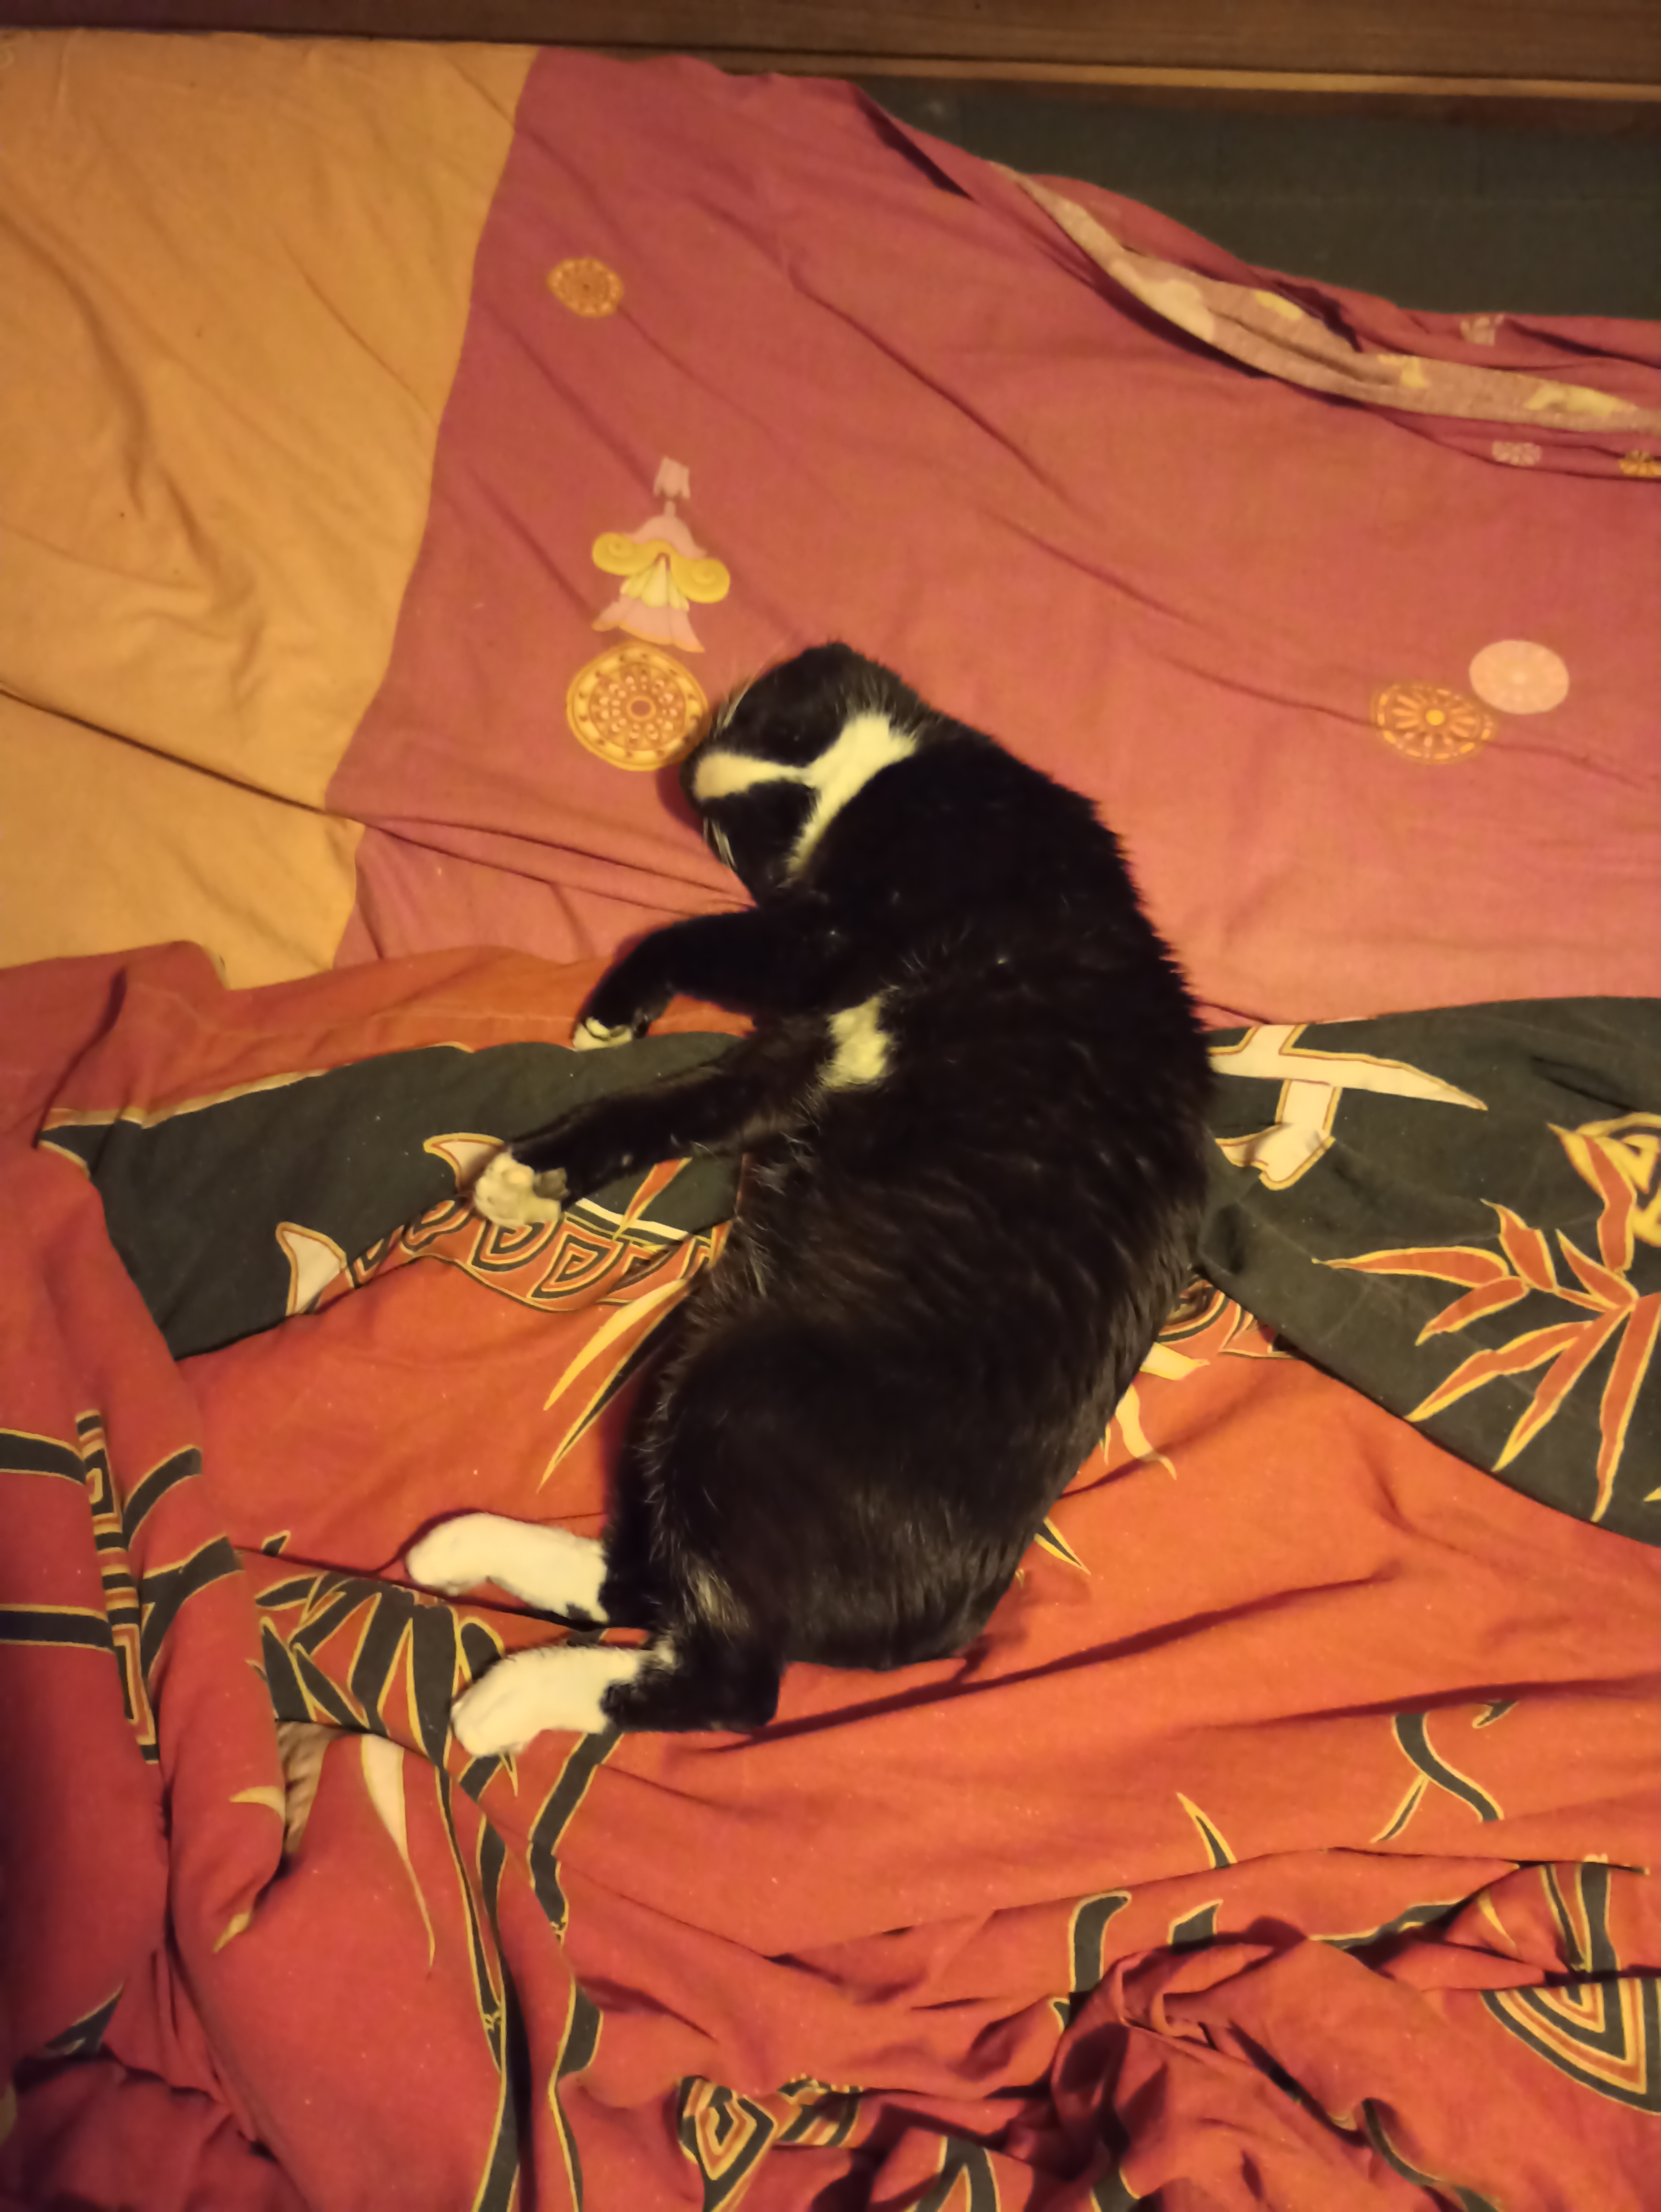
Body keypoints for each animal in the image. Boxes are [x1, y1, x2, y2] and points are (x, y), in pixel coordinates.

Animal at [407, 643, 1211, 1751]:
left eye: (727, 828)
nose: (693, 770)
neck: (870, 778)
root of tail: (944, 1619)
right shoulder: (796, 1054)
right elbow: (660, 1106)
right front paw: (529, 1171)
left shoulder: (841, 936)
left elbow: (703, 935)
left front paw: (617, 1007)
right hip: (689, 1361)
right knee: (647, 1581)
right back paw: (460, 1550)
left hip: (741, 1391)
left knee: (731, 1682)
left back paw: (504, 1696)